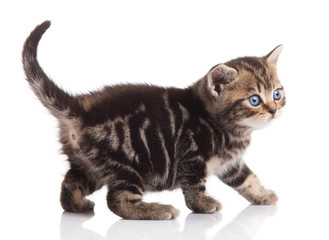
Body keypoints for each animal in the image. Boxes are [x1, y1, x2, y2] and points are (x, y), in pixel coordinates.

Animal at [22, 21, 284, 220]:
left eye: (277, 94)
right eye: (254, 100)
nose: (273, 110)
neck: (228, 127)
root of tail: (81, 109)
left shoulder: (231, 163)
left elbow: (247, 178)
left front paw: (263, 195)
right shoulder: (191, 157)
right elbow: (194, 186)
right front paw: (203, 205)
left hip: (90, 165)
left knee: (69, 185)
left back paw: (77, 205)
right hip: (129, 163)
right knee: (117, 200)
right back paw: (155, 211)